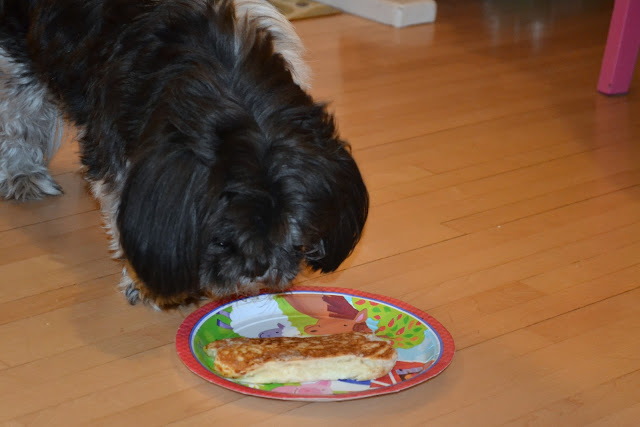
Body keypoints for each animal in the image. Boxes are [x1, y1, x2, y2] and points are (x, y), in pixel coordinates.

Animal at [0, 0, 368, 309]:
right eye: (220, 239)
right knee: (18, 110)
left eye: (294, 232)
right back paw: (23, 175)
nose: (258, 269)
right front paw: (149, 283)